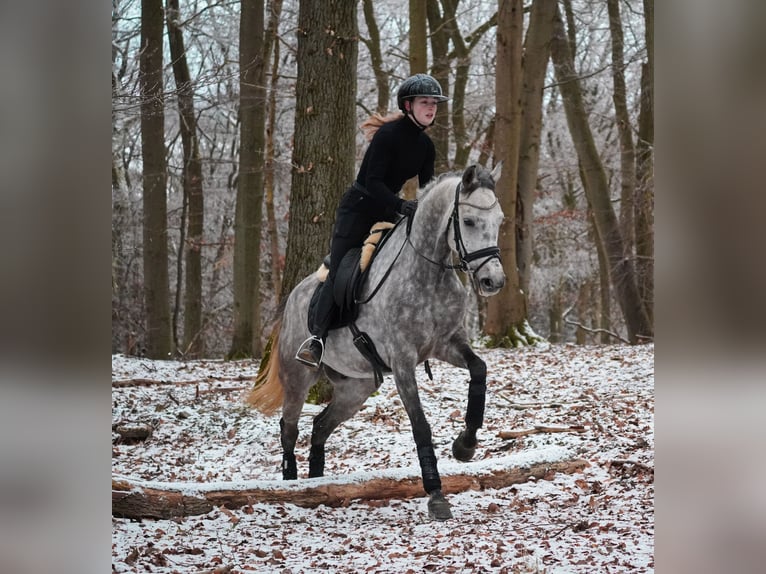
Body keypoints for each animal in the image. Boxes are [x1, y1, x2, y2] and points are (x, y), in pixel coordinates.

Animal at [249, 163, 508, 520]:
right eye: (468, 221)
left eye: (500, 221)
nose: (493, 281)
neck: (427, 272)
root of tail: (292, 299)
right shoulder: (402, 361)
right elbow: (420, 425)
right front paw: (436, 494)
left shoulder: (446, 344)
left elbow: (479, 369)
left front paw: (465, 445)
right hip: (299, 376)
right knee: (289, 428)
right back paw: (293, 486)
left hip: (356, 388)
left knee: (320, 425)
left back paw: (318, 483)